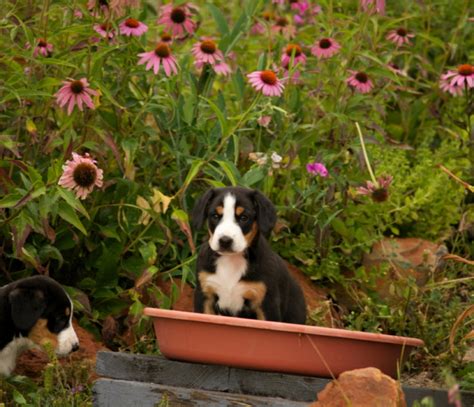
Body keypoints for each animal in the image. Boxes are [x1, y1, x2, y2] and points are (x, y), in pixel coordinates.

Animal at [193, 187, 308, 326]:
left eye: (244, 217)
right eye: (215, 216)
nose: (225, 240)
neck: (231, 261)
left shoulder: (267, 303)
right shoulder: (205, 296)